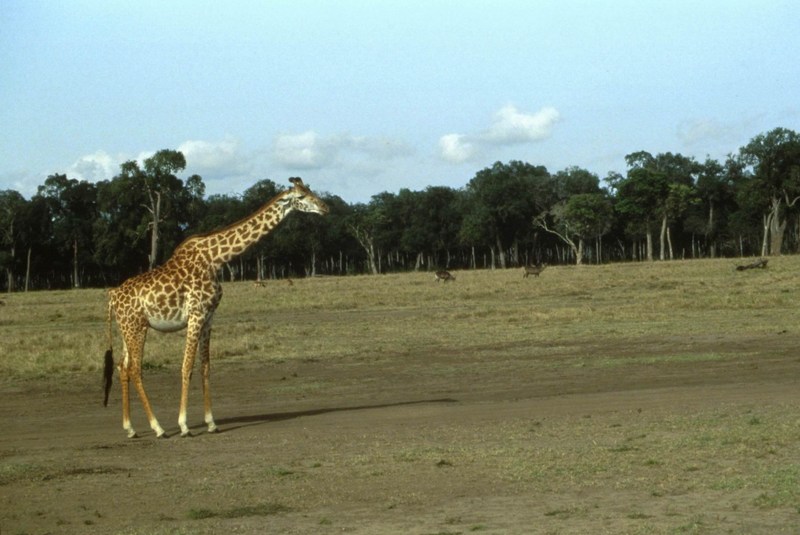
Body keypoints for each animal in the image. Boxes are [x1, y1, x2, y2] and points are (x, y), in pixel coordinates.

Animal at [102, 178, 328, 438]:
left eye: (310, 191)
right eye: (301, 197)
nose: (325, 207)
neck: (216, 260)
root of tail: (112, 296)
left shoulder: (209, 317)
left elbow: (205, 367)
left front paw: (211, 423)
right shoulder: (196, 314)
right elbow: (186, 367)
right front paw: (184, 425)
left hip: (128, 329)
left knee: (122, 367)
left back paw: (130, 428)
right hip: (136, 328)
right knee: (135, 370)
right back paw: (158, 428)